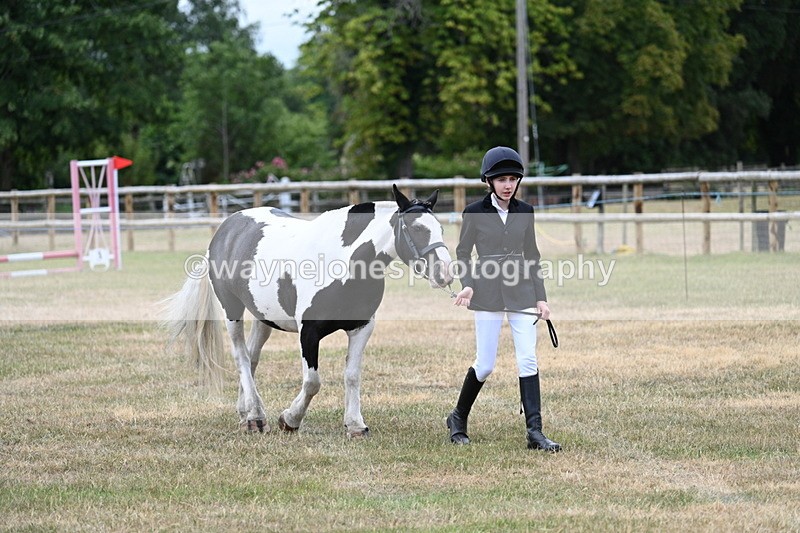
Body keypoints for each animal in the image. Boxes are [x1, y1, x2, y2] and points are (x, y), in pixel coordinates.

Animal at [165, 185, 453, 437]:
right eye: (416, 228)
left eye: (439, 228)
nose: (445, 273)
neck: (342, 262)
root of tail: (226, 228)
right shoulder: (309, 332)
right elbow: (313, 382)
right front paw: (290, 419)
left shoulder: (361, 327)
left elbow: (352, 376)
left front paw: (355, 425)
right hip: (232, 309)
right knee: (241, 357)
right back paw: (256, 416)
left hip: (263, 316)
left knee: (252, 357)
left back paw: (246, 412)